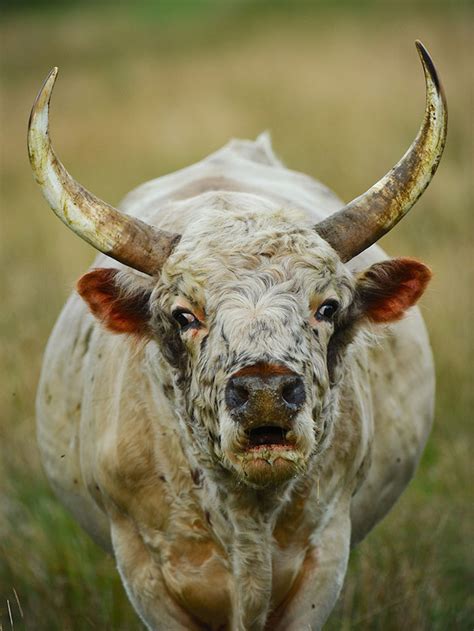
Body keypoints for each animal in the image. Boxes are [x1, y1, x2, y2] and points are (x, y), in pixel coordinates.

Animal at [29, 42, 448, 628]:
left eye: (327, 307)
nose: (266, 393)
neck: (246, 516)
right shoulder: (141, 566)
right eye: (184, 315)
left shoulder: (325, 555)